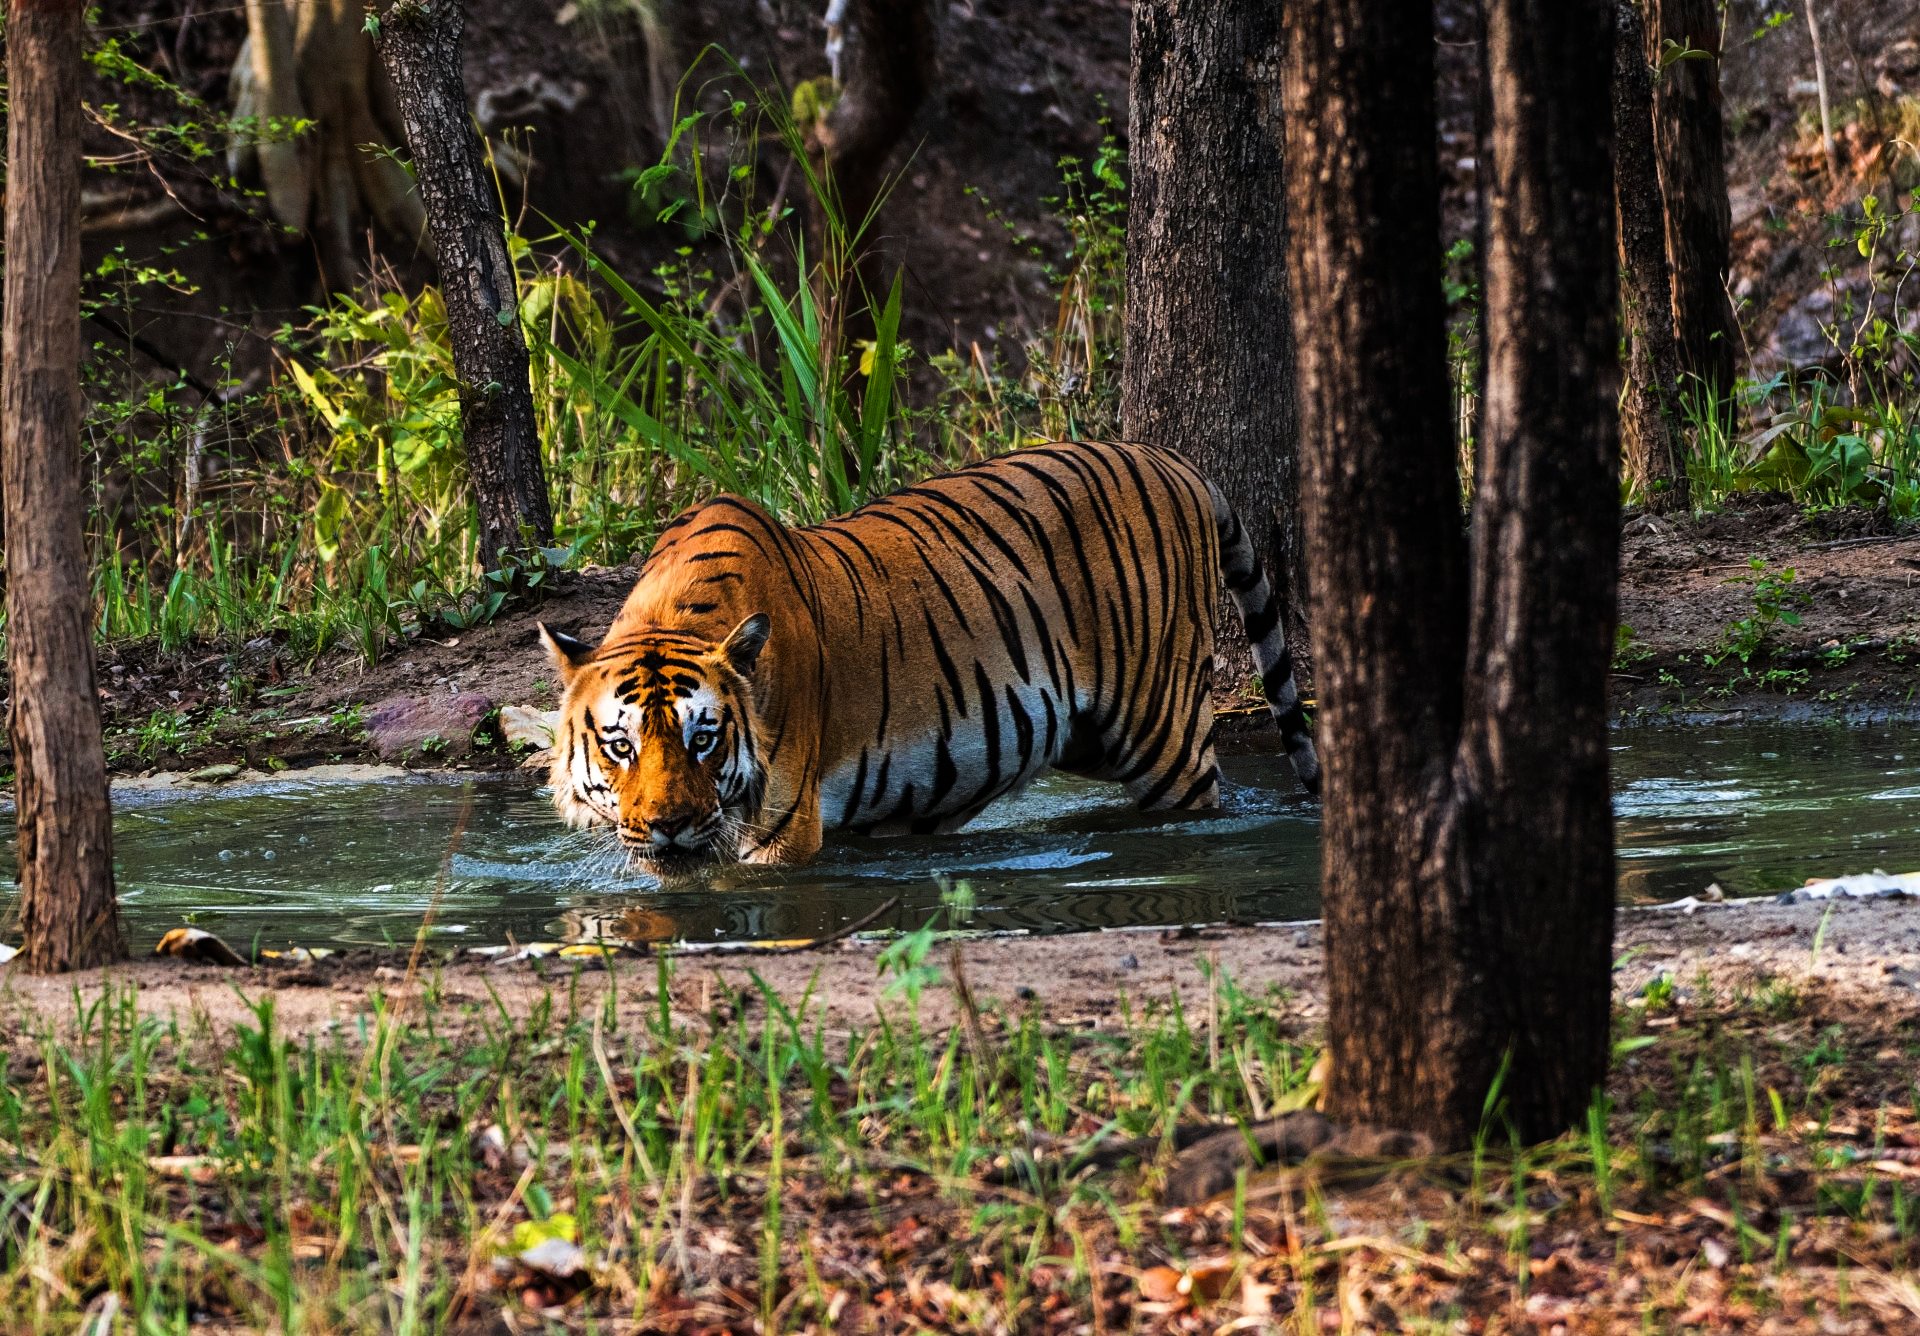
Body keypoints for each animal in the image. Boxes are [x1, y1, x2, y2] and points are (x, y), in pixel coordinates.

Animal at [541, 443, 1320, 871]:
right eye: (619, 745)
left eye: (703, 740)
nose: (670, 825)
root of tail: (1172, 460)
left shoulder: (781, 829)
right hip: (1086, 737)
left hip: (1163, 734)